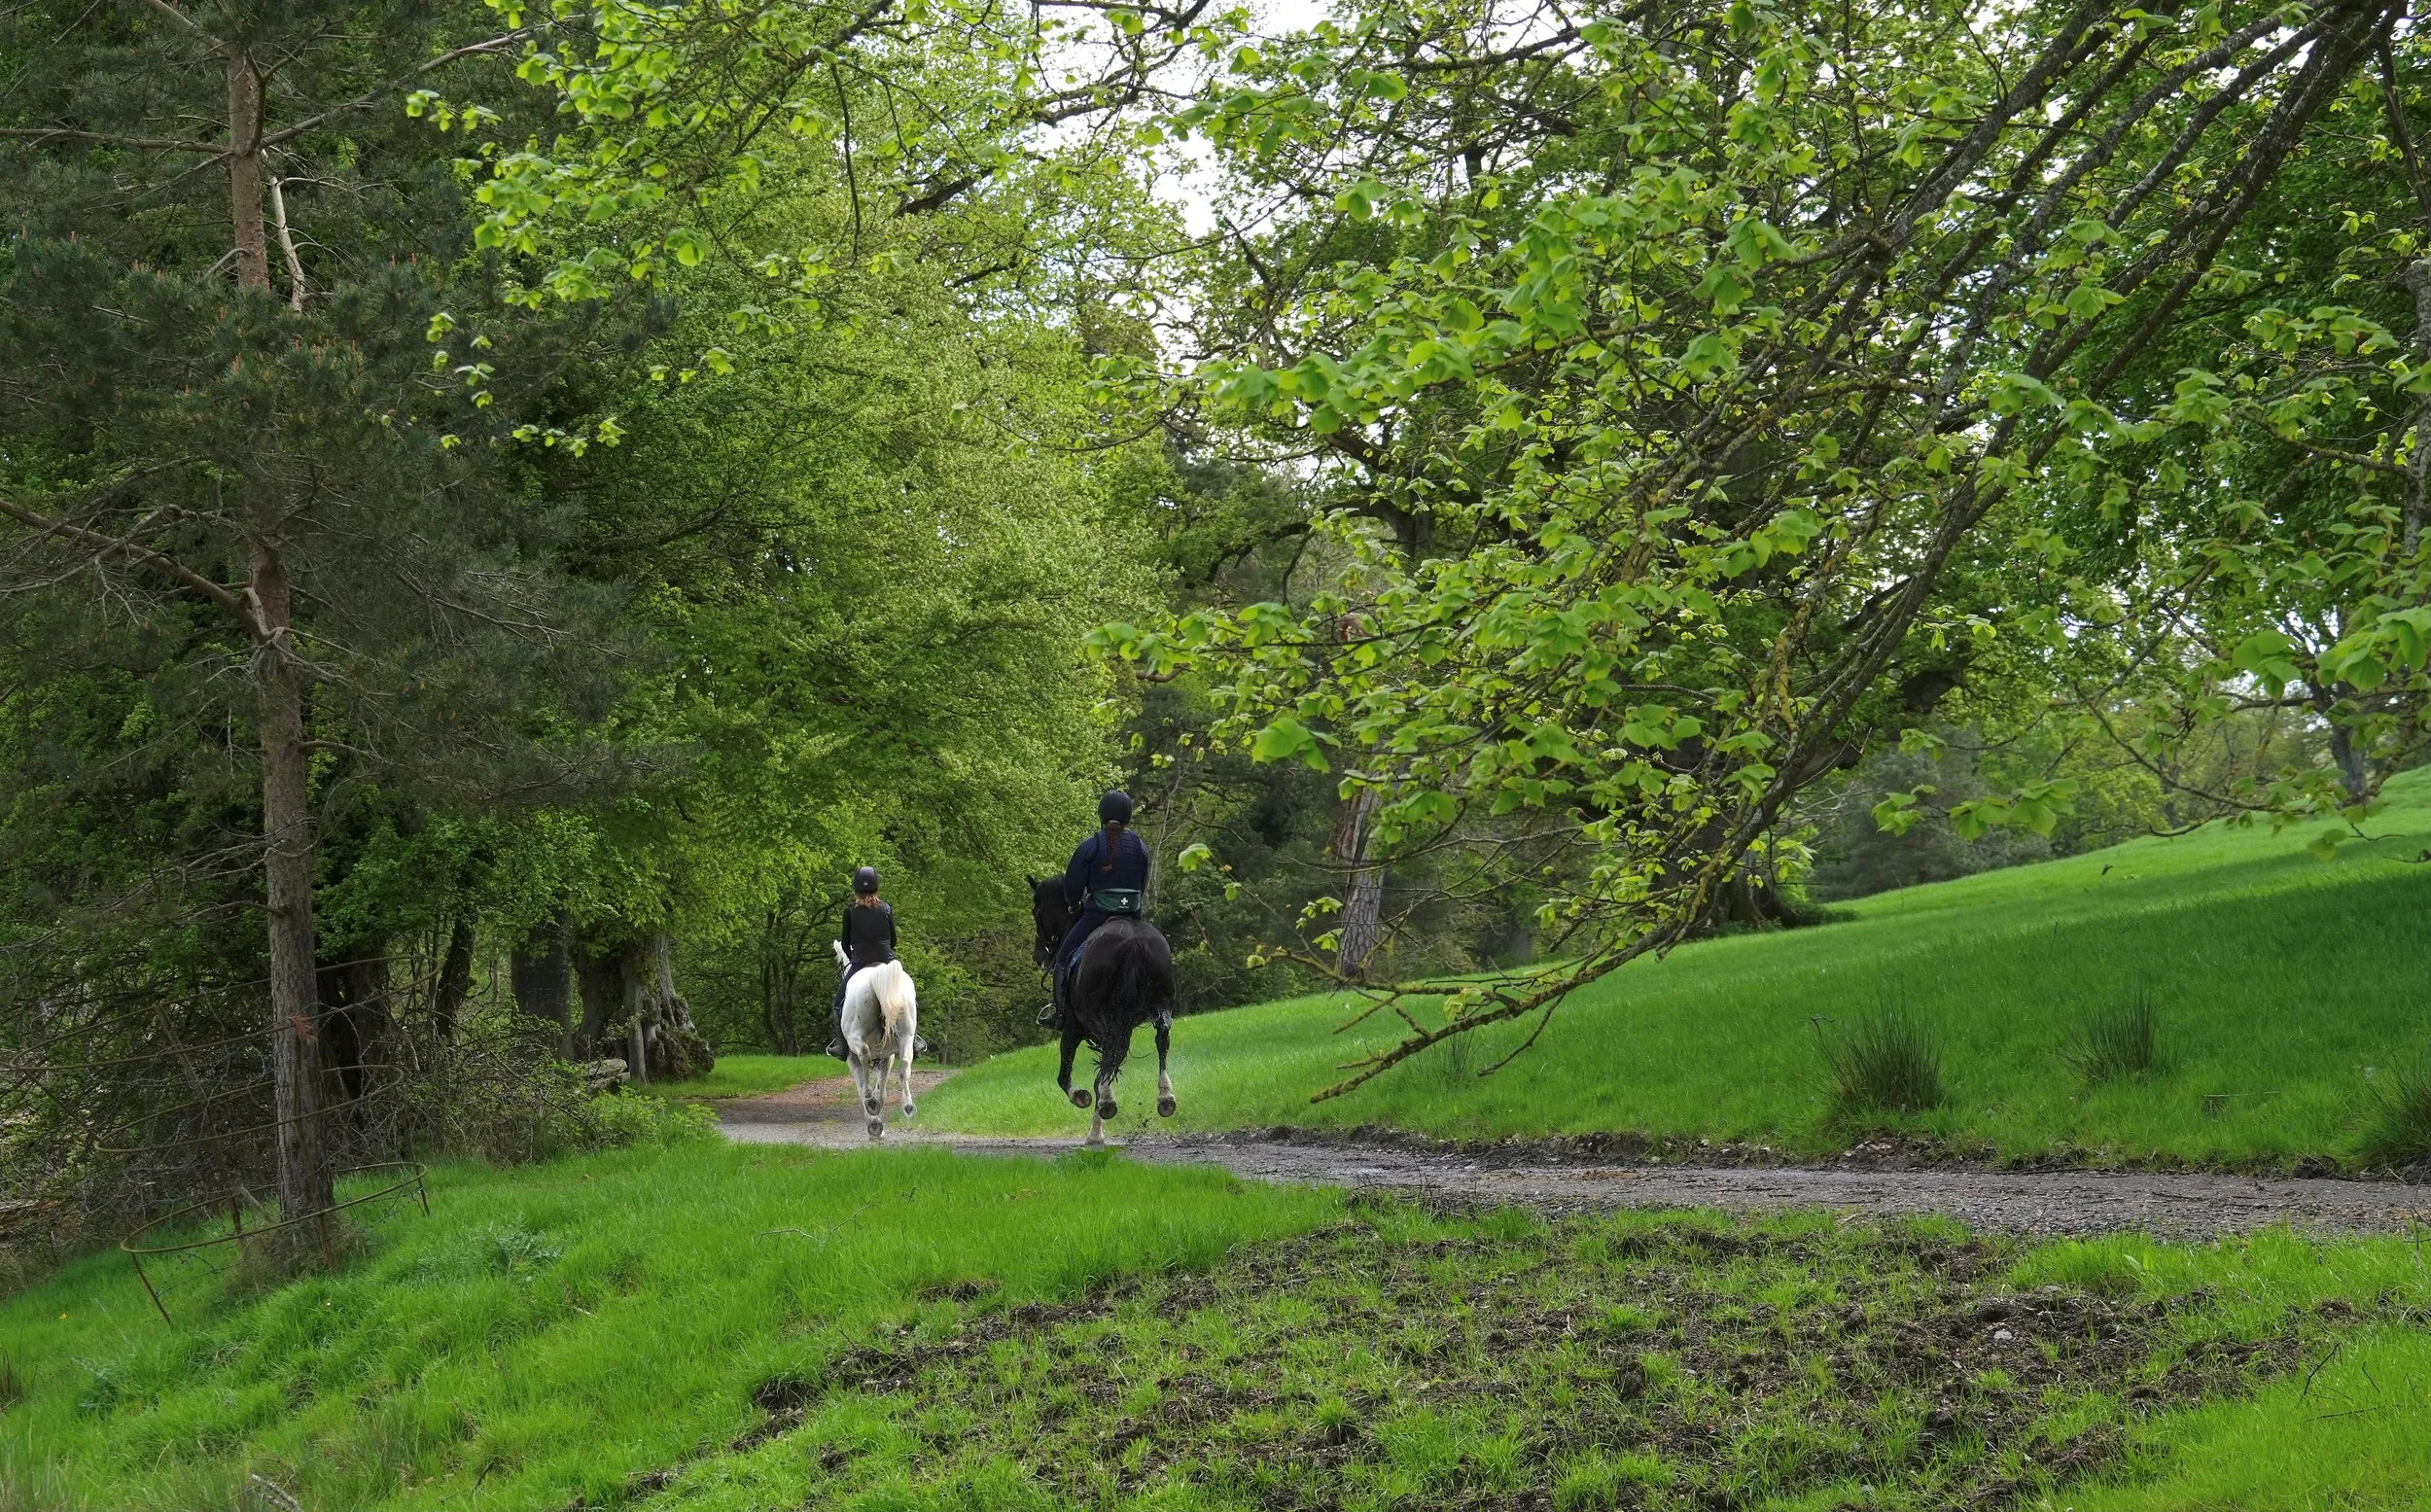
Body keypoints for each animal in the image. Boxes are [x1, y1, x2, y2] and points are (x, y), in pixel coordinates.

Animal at [833, 942, 917, 1140]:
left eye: (840, 962)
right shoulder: (887, 1056)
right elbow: (882, 1091)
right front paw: (877, 1121)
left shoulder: (851, 1059)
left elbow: (862, 1087)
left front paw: (873, 1123)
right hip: (906, 1037)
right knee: (905, 1065)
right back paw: (908, 1106)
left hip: (855, 1039)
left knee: (864, 1055)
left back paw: (872, 1105)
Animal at [1028, 875, 1178, 1146]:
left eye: (1036, 911)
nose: (1038, 956)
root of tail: (1135, 942)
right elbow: (1105, 1068)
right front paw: (1096, 1132)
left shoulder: (1073, 1026)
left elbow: (1066, 1076)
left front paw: (1082, 1099)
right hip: (1158, 1008)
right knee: (1161, 1039)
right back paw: (1165, 1098)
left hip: (1102, 1019)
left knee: (1107, 1058)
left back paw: (1108, 1102)